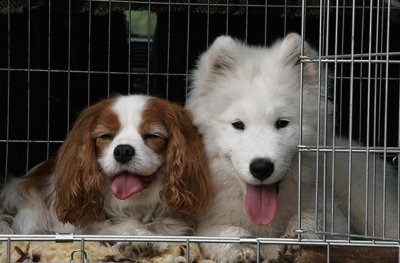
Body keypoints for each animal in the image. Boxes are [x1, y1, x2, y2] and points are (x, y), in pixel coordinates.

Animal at [186, 34, 398, 262]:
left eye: (282, 123)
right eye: (238, 124)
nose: (261, 168)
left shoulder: (335, 217)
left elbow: (314, 217)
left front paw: (298, 234)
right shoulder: (203, 223)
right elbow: (221, 232)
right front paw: (240, 248)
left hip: (371, 208)